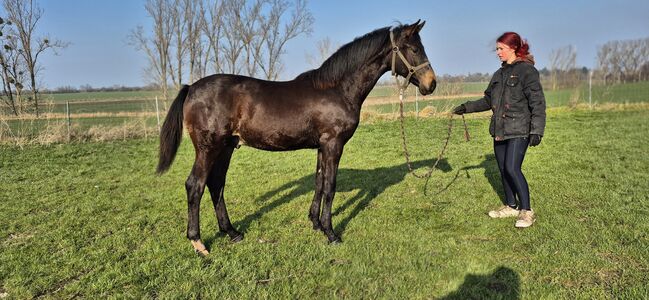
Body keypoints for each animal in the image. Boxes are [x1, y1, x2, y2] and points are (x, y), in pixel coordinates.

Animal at [156, 19, 436, 254]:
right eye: (413, 49)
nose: (431, 84)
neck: (337, 89)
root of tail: (191, 87)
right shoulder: (333, 144)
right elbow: (330, 186)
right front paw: (331, 233)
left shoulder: (322, 146)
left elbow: (319, 182)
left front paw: (315, 223)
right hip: (208, 148)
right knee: (195, 185)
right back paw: (198, 242)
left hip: (226, 147)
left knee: (216, 185)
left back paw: (232, 232)